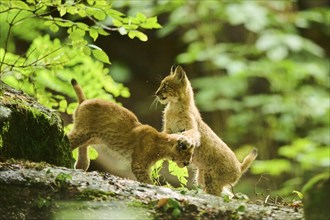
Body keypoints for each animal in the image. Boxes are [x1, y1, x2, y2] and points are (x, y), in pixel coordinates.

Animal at [155, 65, 258, 196]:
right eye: (161, 84)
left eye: (166, 85)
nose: (156, 93)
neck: (174, 106)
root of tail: (240, 167)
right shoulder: (167, 129)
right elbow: (162, 134)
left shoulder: (192, 128)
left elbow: (190, 134)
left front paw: (184, 139)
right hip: (202, 177)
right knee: (228, 194)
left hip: (212, 181)